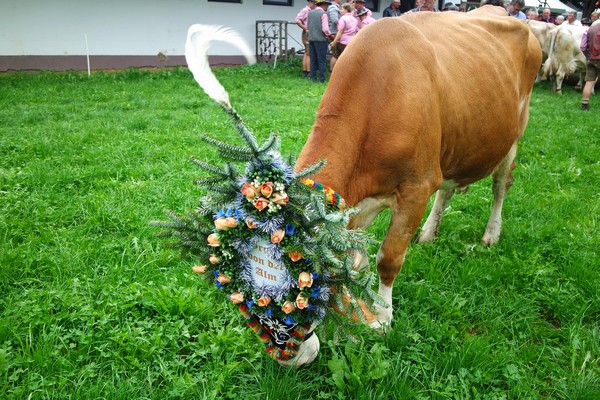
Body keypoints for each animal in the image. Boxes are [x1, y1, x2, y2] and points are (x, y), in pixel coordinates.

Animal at [296, 4, 544, 340]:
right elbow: (354, 259)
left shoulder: (416, 188)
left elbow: (388, 258)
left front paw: (383, 317)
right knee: (448, 190)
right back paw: (428, 233)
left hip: (515, 132)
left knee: (501, 184)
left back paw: (491, 234)